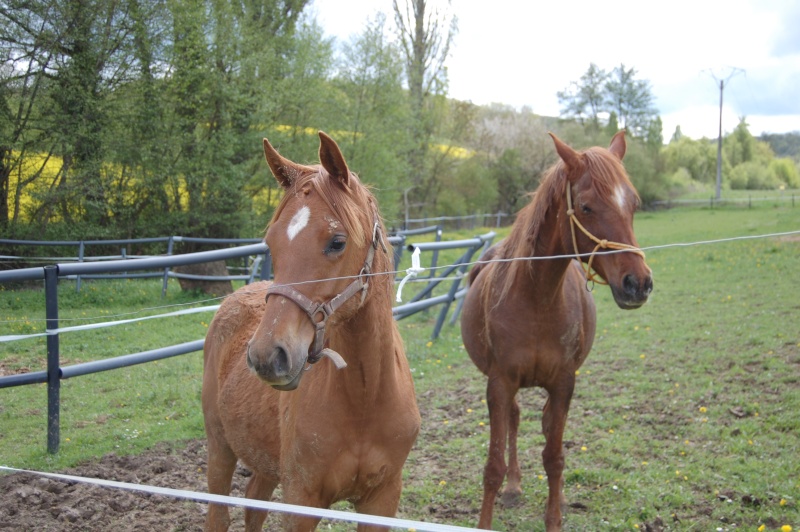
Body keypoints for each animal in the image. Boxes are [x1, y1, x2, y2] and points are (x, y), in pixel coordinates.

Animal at [203, 131, 422, 528]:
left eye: (337, 242)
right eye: (271, 242)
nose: (267, 356)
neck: (365, 398)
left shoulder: (382, 500)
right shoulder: (301, 500)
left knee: (253, 506)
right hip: (220, 449)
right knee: (219, 515)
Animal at [460, 131, 652, 528]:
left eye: (634, 203)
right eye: (586, 207)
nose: (638, 283)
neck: (537, 299)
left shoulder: (564, 382)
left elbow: (554, 457)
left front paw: (555, 518)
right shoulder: (499, 384)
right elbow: (493, 466)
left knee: (549, 430)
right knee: (516, 421)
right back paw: (514, 487)